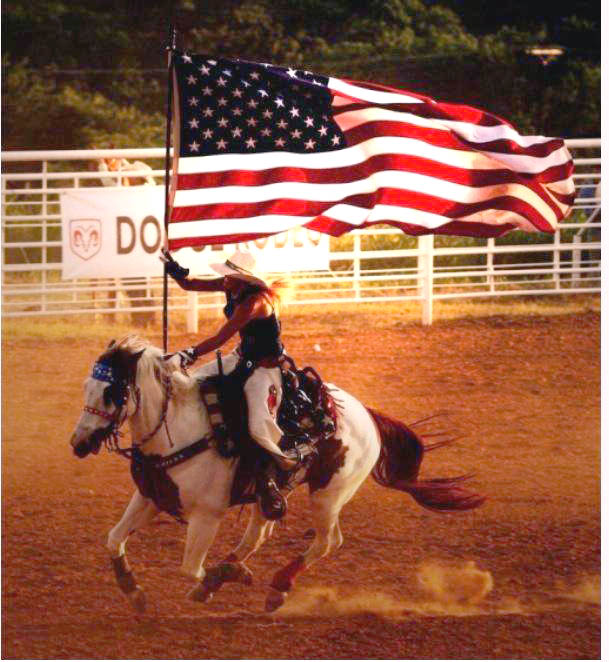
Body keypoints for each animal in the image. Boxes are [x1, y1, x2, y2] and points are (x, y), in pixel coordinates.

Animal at [69, 340, 484, 616]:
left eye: (111, 392)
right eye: (87, 387)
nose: (78, 443)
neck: (178, 429)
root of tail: (364, 412)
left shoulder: (207, 515)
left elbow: (190, 568)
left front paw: (220, 578)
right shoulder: (151, 497)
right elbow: (113, 540)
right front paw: (134, 591)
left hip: (328, 495)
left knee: (327, 541)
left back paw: (277, 587)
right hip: (270, 492)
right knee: (259, 532)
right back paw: (235, 571)